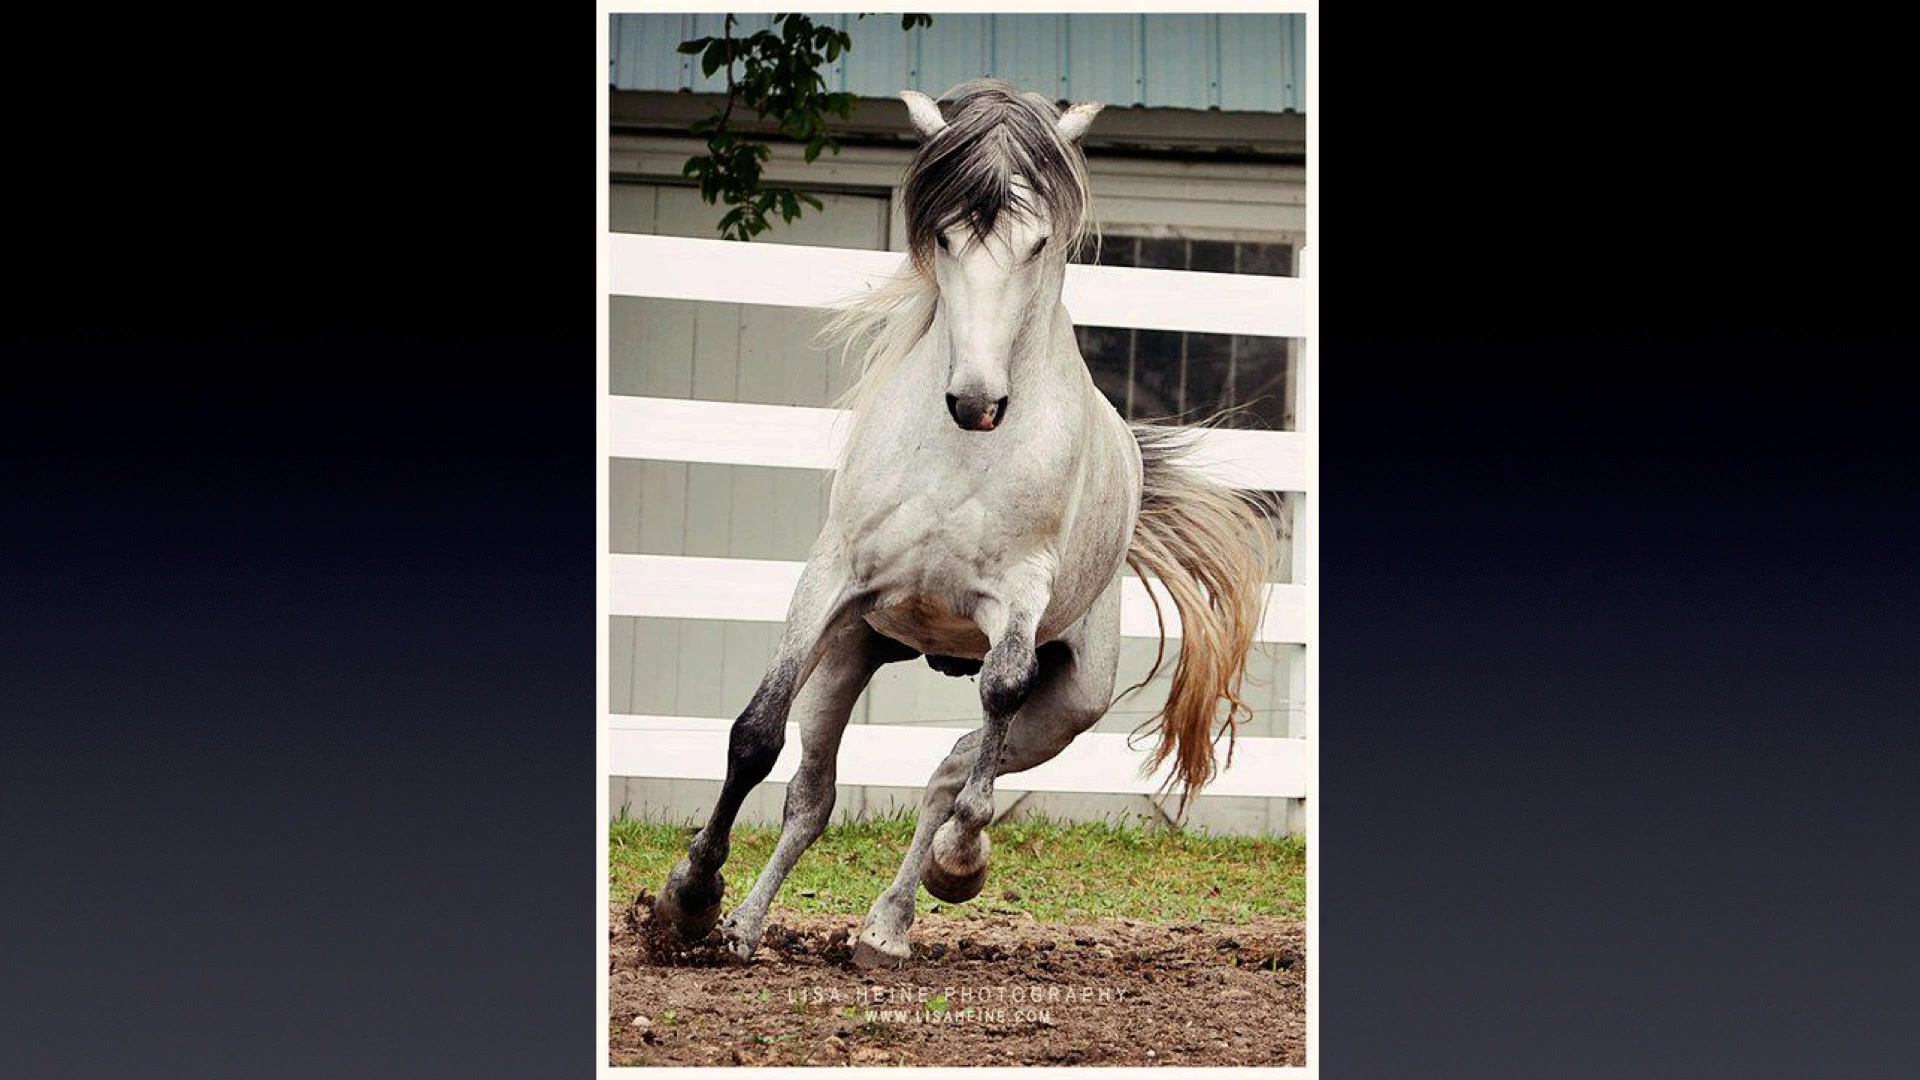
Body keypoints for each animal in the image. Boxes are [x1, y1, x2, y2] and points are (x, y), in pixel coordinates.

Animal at [652, 77, 1282, 968]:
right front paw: (688, 897)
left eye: (1039, 241)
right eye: (945, 235)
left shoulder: (1015, 599)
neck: (959, 458)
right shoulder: (831, 586)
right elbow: (755, 736)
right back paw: (747, 925)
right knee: (815, 795)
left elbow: (995, 710)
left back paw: (893, 919)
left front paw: (961, 862)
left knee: (951, 773)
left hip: (1067, 706)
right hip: (852, 650)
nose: (978, 401)